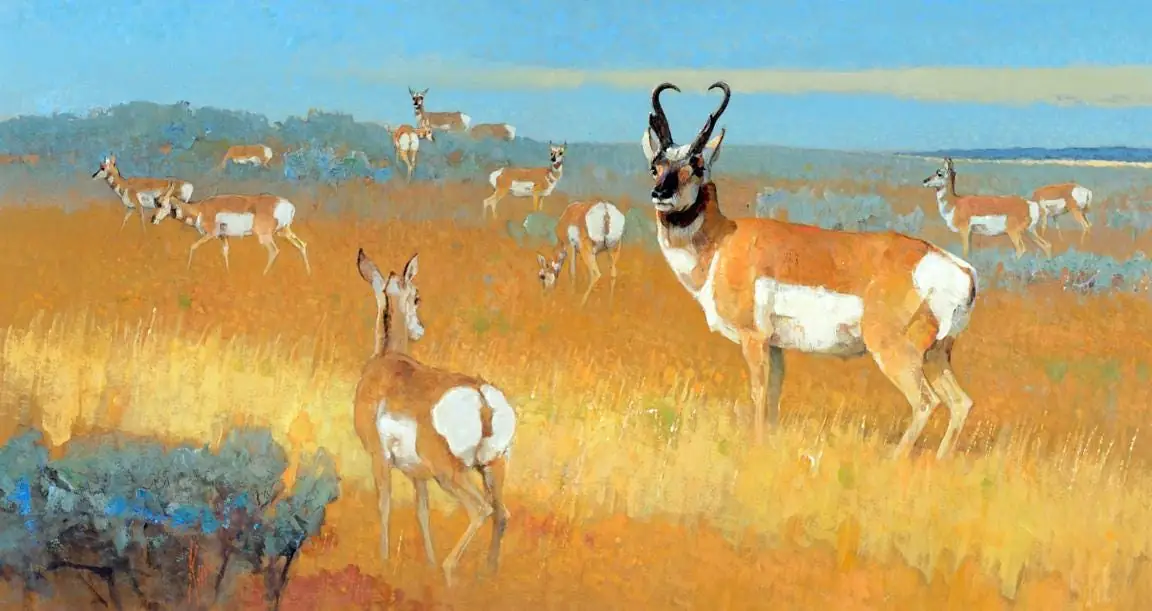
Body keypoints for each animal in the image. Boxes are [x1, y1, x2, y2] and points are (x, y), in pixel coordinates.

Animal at [151, 182, 311, 276]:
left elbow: (193, 246)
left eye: (161, 204)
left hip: (265, 236)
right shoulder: (223, 237)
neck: (200, 208)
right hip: (284, 232)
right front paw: (227, 273)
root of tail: (287, 205)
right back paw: (308, 273)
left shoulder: (211, 234)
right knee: (302, 245)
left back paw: (263, 275)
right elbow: (225, 251)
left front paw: (187, 270)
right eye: (156, 202)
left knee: (274, 251)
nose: (153, 219)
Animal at [352, 249, 516, 587]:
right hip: (493, 468)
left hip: (449, 473)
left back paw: (449, 570)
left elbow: (384, 505)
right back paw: (488, 575)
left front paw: (384, 561)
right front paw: (427, 562)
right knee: (501, 514)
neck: (387, 361)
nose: (420, 329)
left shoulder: (379, 458)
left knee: (480, 509)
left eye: (417, 296)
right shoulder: (419, 475)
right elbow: (422, 512)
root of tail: (481, 395)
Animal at [641, 81, 980, 459]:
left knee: (925, 401)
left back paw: (894, 460)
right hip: (937, 355)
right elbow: (774, 395)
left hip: (896, 352)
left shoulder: (753, 339)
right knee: (961, 402)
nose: (661, 194)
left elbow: (758, 393)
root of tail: (962, 271)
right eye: (656, 166)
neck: (722, 241)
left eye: (697, 166)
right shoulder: (775, 347)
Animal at [921, 157, 1053, 260]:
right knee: (1046, 245)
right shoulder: (970, 233)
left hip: (1014, 232)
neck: (955, 203)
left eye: (939, 173)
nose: (924, 181)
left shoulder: (964, 231)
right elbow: (970, 252)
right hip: (1030, 231)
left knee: (1021, 249)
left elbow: (965, 252)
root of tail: (1029, 203)